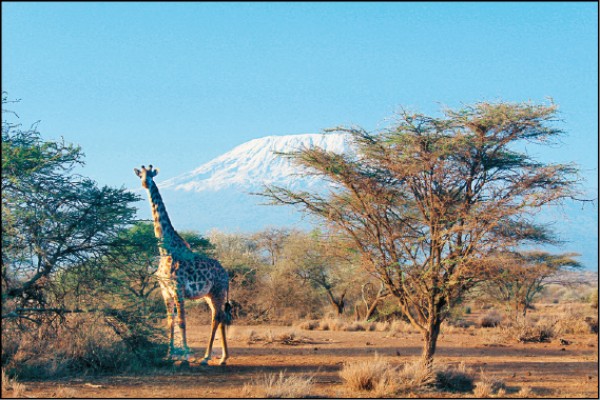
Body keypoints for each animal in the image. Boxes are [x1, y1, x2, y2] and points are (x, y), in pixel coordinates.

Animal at [135, 164, 231, 364]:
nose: (145, 183)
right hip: (208, 294)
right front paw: (168, 354)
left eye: (151, 174)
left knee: (217, 317)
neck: (165, 250)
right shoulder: (165, 291)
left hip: (218, 291)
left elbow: (182, 321)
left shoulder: (178, 288)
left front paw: (185, 356)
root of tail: (226, 274)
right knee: (220, 316)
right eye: (140, 175)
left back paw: (207, 357)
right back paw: (223, 357)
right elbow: (169, 321)